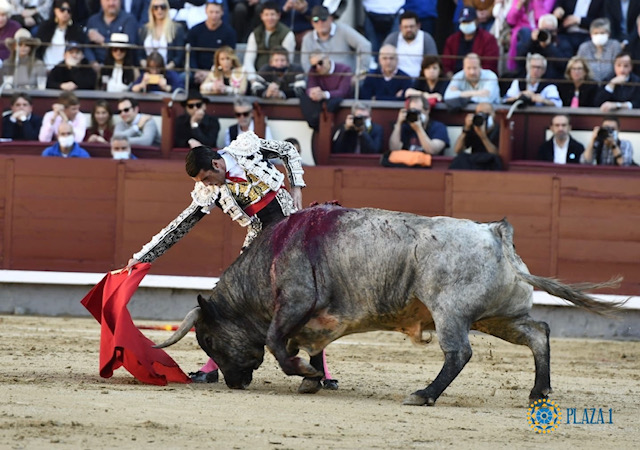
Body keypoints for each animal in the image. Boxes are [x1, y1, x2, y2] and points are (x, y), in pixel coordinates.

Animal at [156, 204, 624, 404]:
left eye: (208, 340)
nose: (234, 383)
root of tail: (496, 232)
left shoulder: (295, 301)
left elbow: (277, 343)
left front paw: (306, 374)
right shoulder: (313, 318)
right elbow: (308, 344)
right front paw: (313, 379)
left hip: (452, 313)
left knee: (459, 353)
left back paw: (424, 394)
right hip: (499, 316)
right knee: (539, 333)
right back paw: (538, 392)